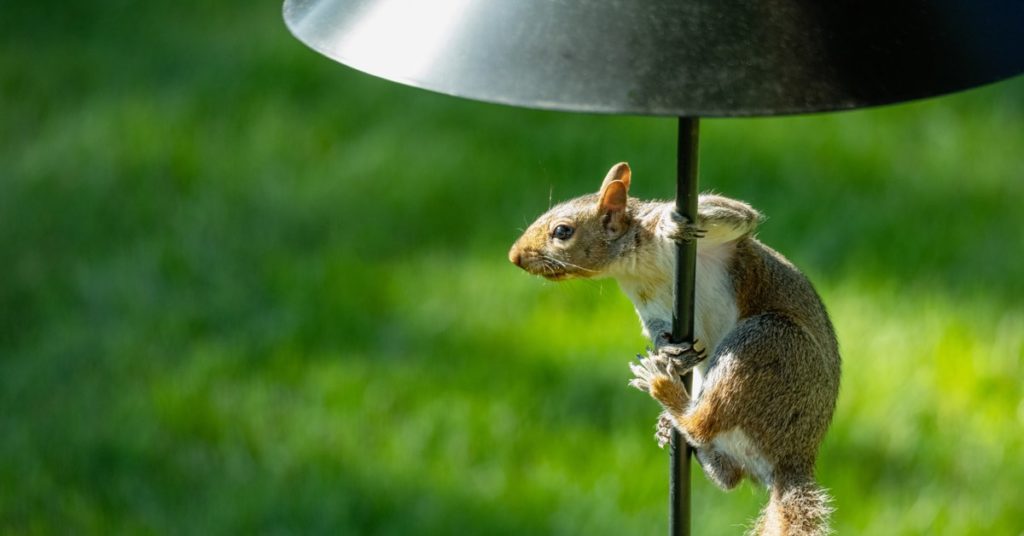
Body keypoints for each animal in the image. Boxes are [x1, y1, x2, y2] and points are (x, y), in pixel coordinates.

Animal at [509, 162, 839, 536]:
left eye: (562, 231)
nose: (514, 256)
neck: (638, 265)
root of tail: (794, 460)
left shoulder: (720, 241)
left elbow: (739, 214)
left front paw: (670, 223)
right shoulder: (649, 304)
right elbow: (657, 328)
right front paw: (668, 349)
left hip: (768, 343)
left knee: (703, 423)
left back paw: (664, 389)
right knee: (729, 474)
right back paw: (680, 433)